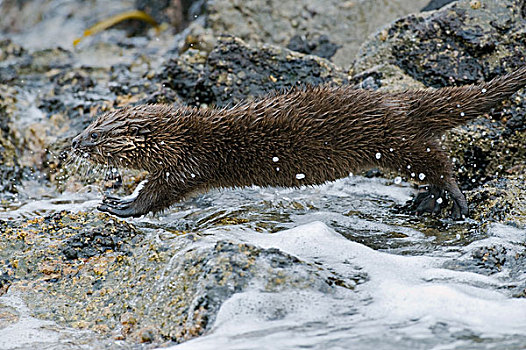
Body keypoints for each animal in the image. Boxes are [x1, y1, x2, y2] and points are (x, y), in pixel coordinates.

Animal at [71, 66, 526, 219]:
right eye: (88, 125)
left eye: (96, 135)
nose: (72, 143)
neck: (186, 135)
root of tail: (402, 98)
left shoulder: (191, 162)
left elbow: (161, 191)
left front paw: (121, 205)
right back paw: (422, 203)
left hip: (395, 139)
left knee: (440, 163)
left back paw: (455, 202)